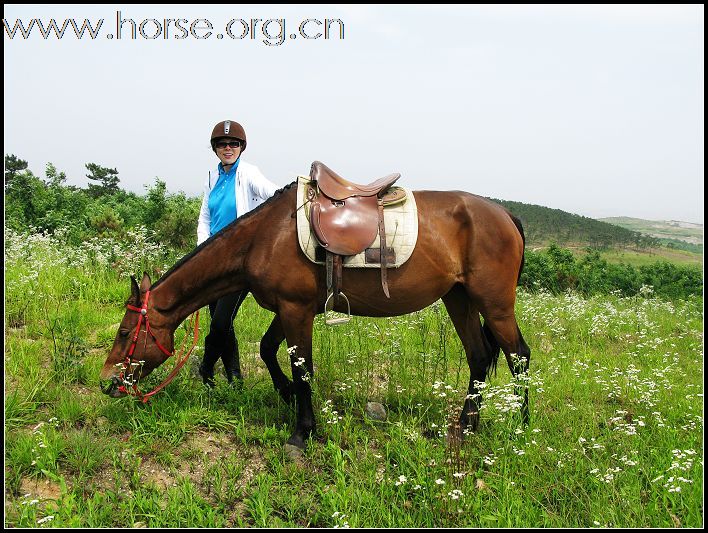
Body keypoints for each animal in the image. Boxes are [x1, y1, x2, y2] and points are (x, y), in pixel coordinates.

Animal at [99, 180, 532, 448]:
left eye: (125, 333)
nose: (106, 382)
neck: (264, 236)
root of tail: (506, 216)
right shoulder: (288, 308)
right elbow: (269, 351)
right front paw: (286, 394)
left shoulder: (295, 310)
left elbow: (301, 366)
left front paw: (302, 431)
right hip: (459, 299)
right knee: (480, 356)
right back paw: (466, 426)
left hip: (494, 304)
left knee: (520, 357)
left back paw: (522, 425)